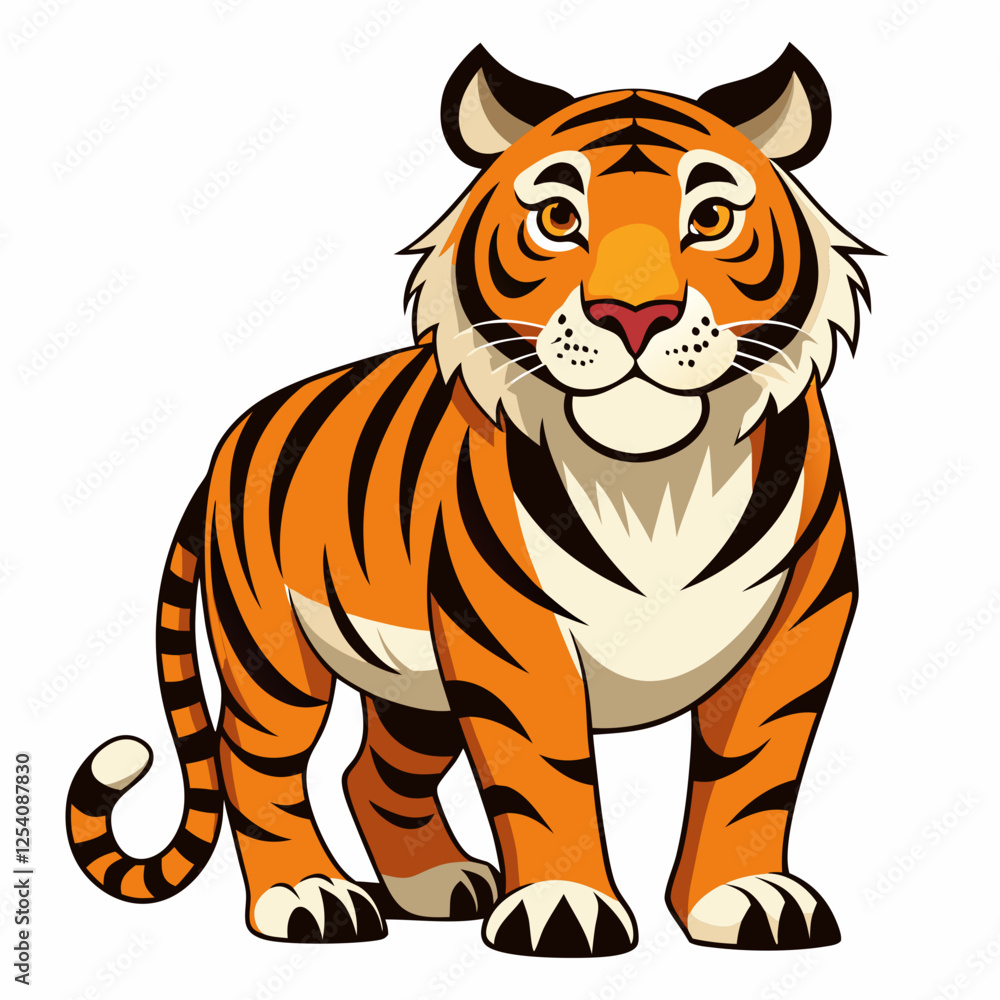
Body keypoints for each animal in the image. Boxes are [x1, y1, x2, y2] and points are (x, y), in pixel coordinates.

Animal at [66, 43, 876, 956]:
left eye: (709, 218)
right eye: (558, 217)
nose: (635, 315)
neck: (655, 478)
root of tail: (229, 439)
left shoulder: (800, 625)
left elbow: (753, 773)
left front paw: (743, 897)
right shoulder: (509, 635)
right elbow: (544, 776)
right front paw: (564, 907)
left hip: (412, 690)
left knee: (370, 774)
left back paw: (432, 883)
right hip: (274, 651)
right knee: (258, 760)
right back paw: (307, 896)